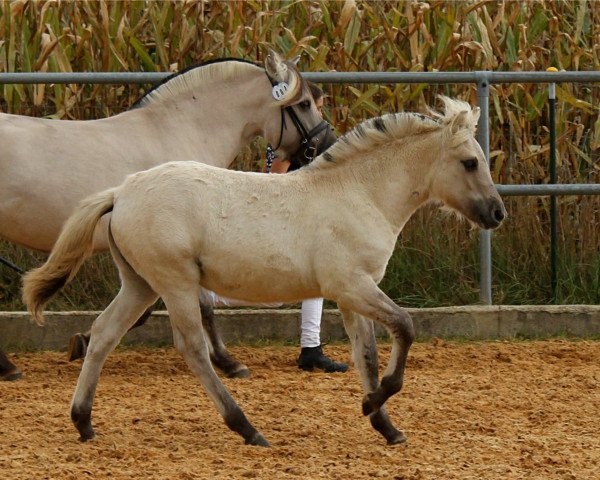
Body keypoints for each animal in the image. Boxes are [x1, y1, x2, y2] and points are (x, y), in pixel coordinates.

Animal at [0, 47, 336, 378]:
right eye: (304, 103)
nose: (328, 145)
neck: (179, 130)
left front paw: (82, 340)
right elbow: (202, 307)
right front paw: (228, 362)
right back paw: (8, 368)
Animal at [22, 95, 506, 448]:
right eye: (469, 162)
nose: (497, 213)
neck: (357, 193)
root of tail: (122, 191)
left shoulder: (353, 294)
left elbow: (366, 354)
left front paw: (384, 424)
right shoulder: (352, 285)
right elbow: (405, 326)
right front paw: (373, 404)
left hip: (140, 284)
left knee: (104, 334)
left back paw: (83, 421)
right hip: (175, 283)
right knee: (192, 348)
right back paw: (247, 427)